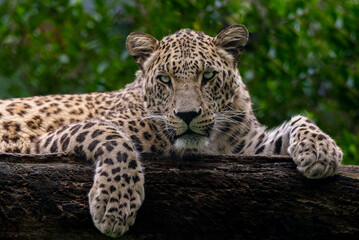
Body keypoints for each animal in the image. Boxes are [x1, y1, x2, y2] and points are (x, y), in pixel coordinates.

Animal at [0, 24, 344, 236]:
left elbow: (297, 121)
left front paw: (321, 150)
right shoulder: (40, 142)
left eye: (208, 77)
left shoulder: (247, 146)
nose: (188, 114)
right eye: (165, 79)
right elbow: (113, 138)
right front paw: (114, 205)